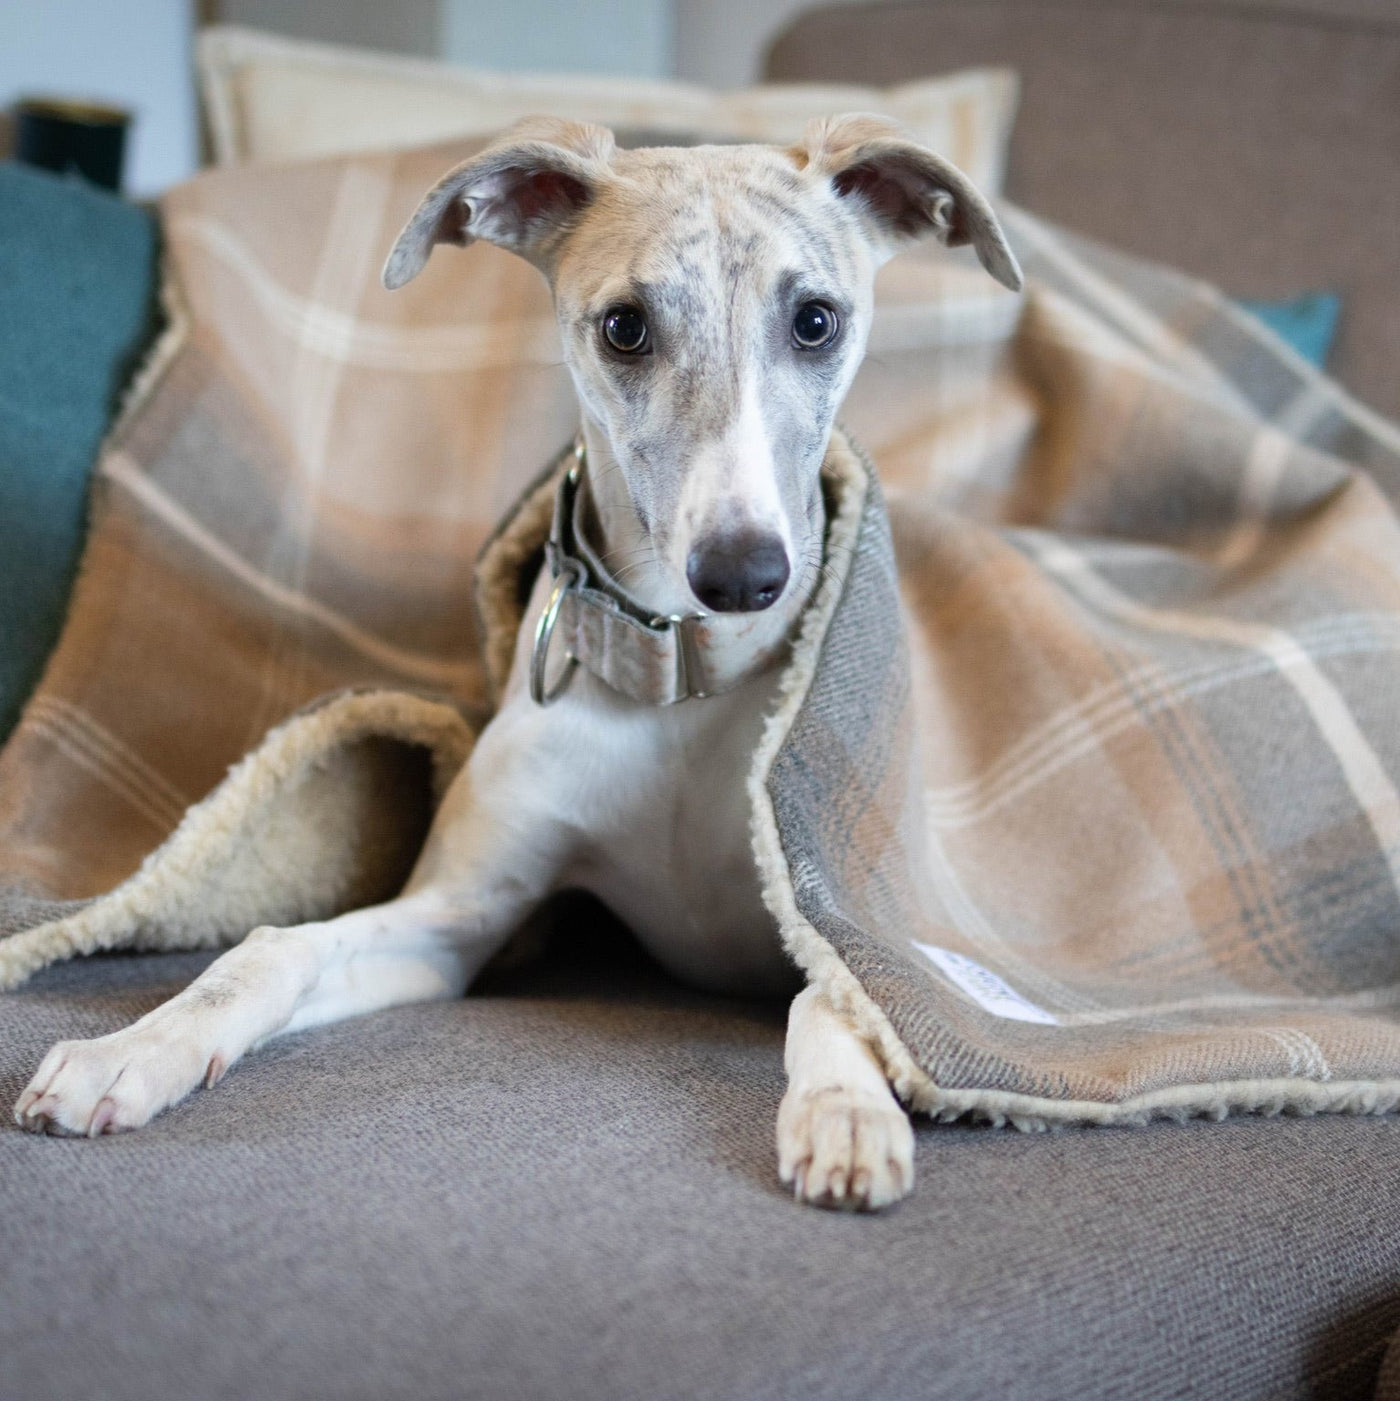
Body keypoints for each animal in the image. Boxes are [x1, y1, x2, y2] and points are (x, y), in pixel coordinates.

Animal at [16, 117, 1025, 1216]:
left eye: (814, 320)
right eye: (623, 327)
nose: (744, 575)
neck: (677, 685)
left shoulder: (835, 900)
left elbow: (847, 990)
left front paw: (844, 1113)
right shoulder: (464, 923)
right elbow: (276, 945)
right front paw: (132, 1050)